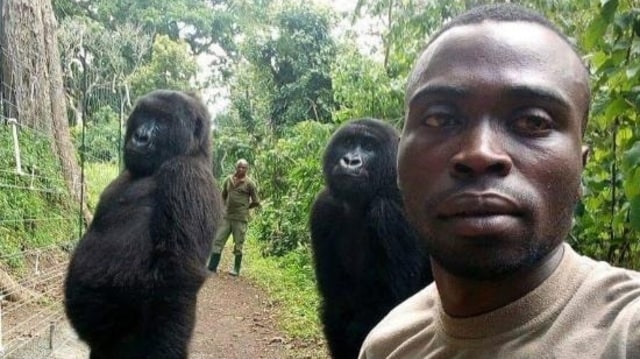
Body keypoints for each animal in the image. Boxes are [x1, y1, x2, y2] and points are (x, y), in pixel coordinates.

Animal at [63, 90, 221, 359]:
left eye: (163, 121)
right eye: (144, 115)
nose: (140, 136)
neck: (193, 152)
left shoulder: (187, 176)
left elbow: (177, 276)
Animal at [308, 119, 430, 359]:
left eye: (369, 146)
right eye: (347, 142)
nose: (350, 161)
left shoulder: (391, 212)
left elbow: (391, 306)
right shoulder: (323, 207)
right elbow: (336, 306)